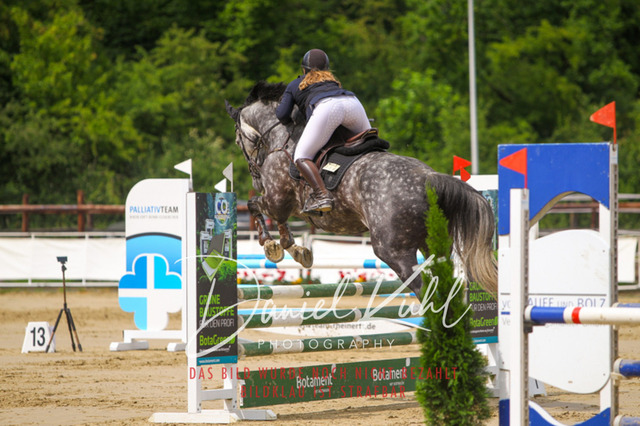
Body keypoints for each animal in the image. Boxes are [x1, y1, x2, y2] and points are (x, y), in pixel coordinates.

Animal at [225, 81, 497, 298]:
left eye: (238, 140)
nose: (256, 179)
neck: (282, 139)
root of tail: (430, 178)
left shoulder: (277, 198)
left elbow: (256, 207)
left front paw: (271, 246)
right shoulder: (286, 205)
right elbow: (278, 220)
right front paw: (295, 249)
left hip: (393, 250)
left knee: (424, 289)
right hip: (435, 244)